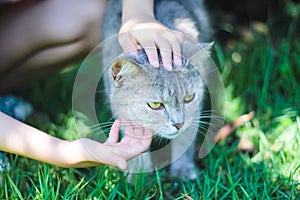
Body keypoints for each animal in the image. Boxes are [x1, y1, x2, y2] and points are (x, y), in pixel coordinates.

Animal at [102, 0, 213, 178]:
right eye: (155, 105)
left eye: (189, 98)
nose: (178, 124)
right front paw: (139, 173)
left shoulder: (195, 111)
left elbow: (185, 139)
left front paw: (183, 169)